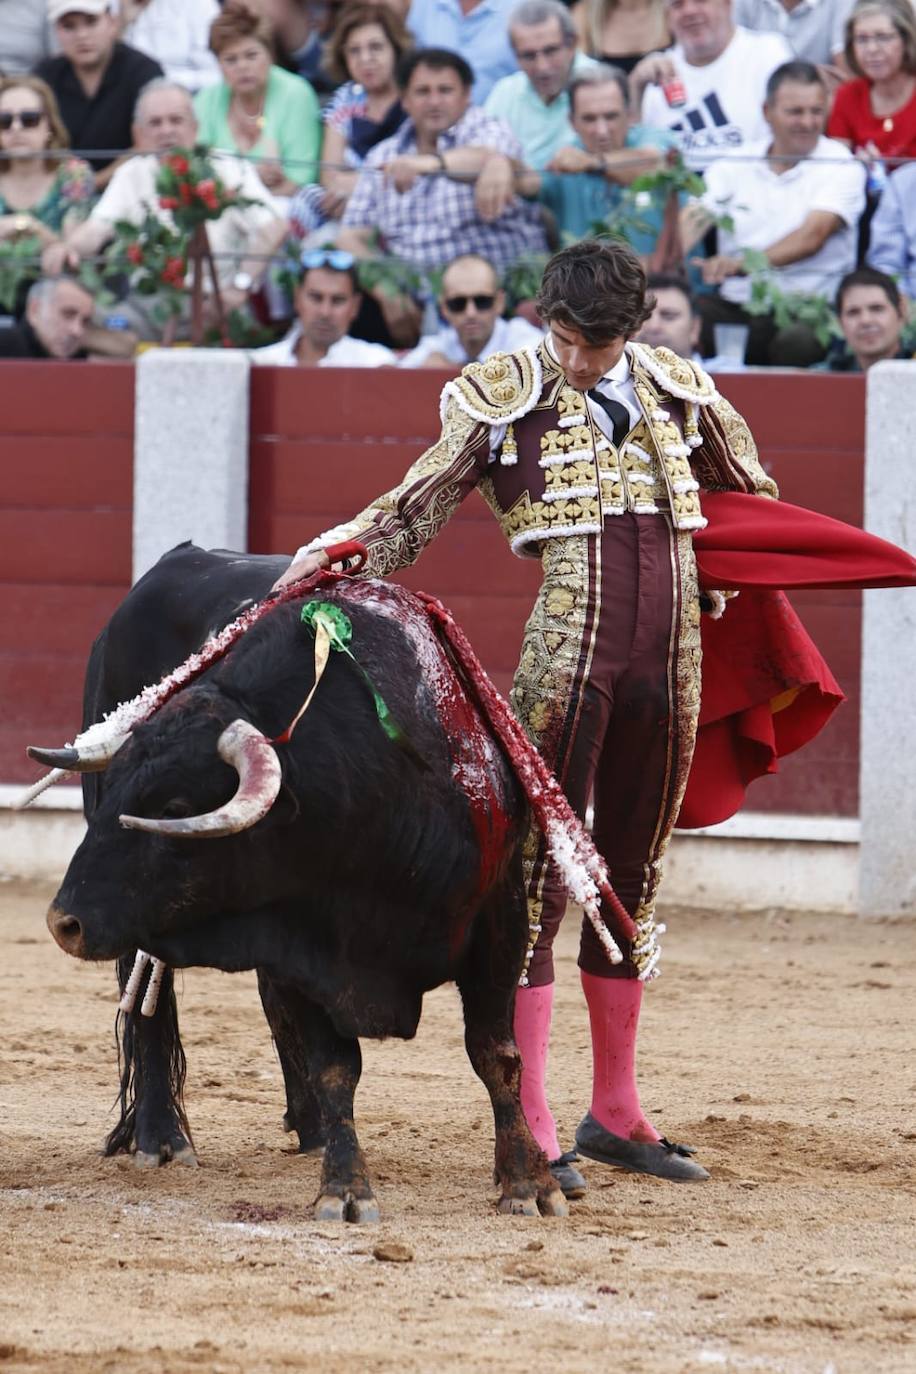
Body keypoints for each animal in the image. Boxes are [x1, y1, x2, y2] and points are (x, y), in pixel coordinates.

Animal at [39, 541, 568, 1220]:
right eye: (115, 794)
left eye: (174, 804)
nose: (65, 922)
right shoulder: (300, 943)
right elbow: (336, 1066)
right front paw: (346, 1188)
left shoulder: (498, 921)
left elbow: (496, 1054)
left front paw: (528, 1182)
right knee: (150, 998)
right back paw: (162, 1138)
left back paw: (308, 1127)